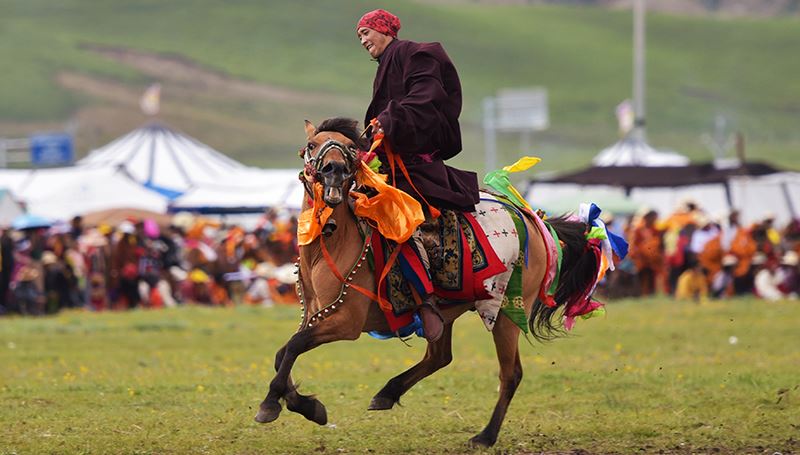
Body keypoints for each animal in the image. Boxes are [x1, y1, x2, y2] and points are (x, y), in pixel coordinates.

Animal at [255, 117, 600, 448]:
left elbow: (293, 347)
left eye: (352, 148)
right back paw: (388, 393)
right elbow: (282, 353)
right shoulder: (316, 316)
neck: (334, 242)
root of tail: (533, 218)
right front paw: (307, 406)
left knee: (510, 373)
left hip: (507, 310)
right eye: (312, 145)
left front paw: (272, 404)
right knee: (440, 356)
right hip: (444, 312)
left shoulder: (346, 322)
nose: (334, 170)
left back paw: (485, 436)